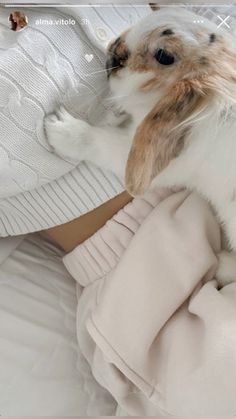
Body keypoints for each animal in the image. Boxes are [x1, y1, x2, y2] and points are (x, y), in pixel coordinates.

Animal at [45, 7, 236, 286]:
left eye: (164, 56)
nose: (114, 48)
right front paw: (113, 114)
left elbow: (101, 141)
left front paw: (59, 127)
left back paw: (222, 265)